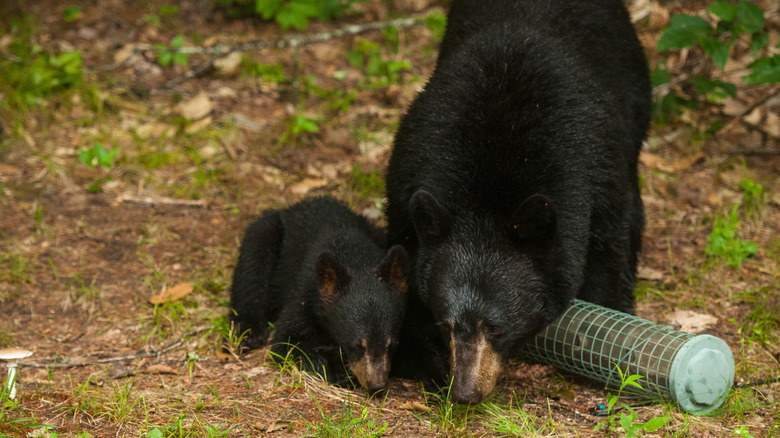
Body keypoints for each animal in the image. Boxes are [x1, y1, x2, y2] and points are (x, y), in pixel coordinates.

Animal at [229, 196, 409, 391]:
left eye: (392, 345)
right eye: (356, 345)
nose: (377, 385)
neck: (353, 255)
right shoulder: (306, 297)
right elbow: (286, 342)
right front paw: (338, 370)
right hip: (266, 232)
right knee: (251, 271)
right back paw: (248, 333)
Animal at [385, 0, 651, 404]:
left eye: (496, 327)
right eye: (446, 324)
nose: (465, 393)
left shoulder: (595, 170)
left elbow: (608, 252)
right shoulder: (408, 174)